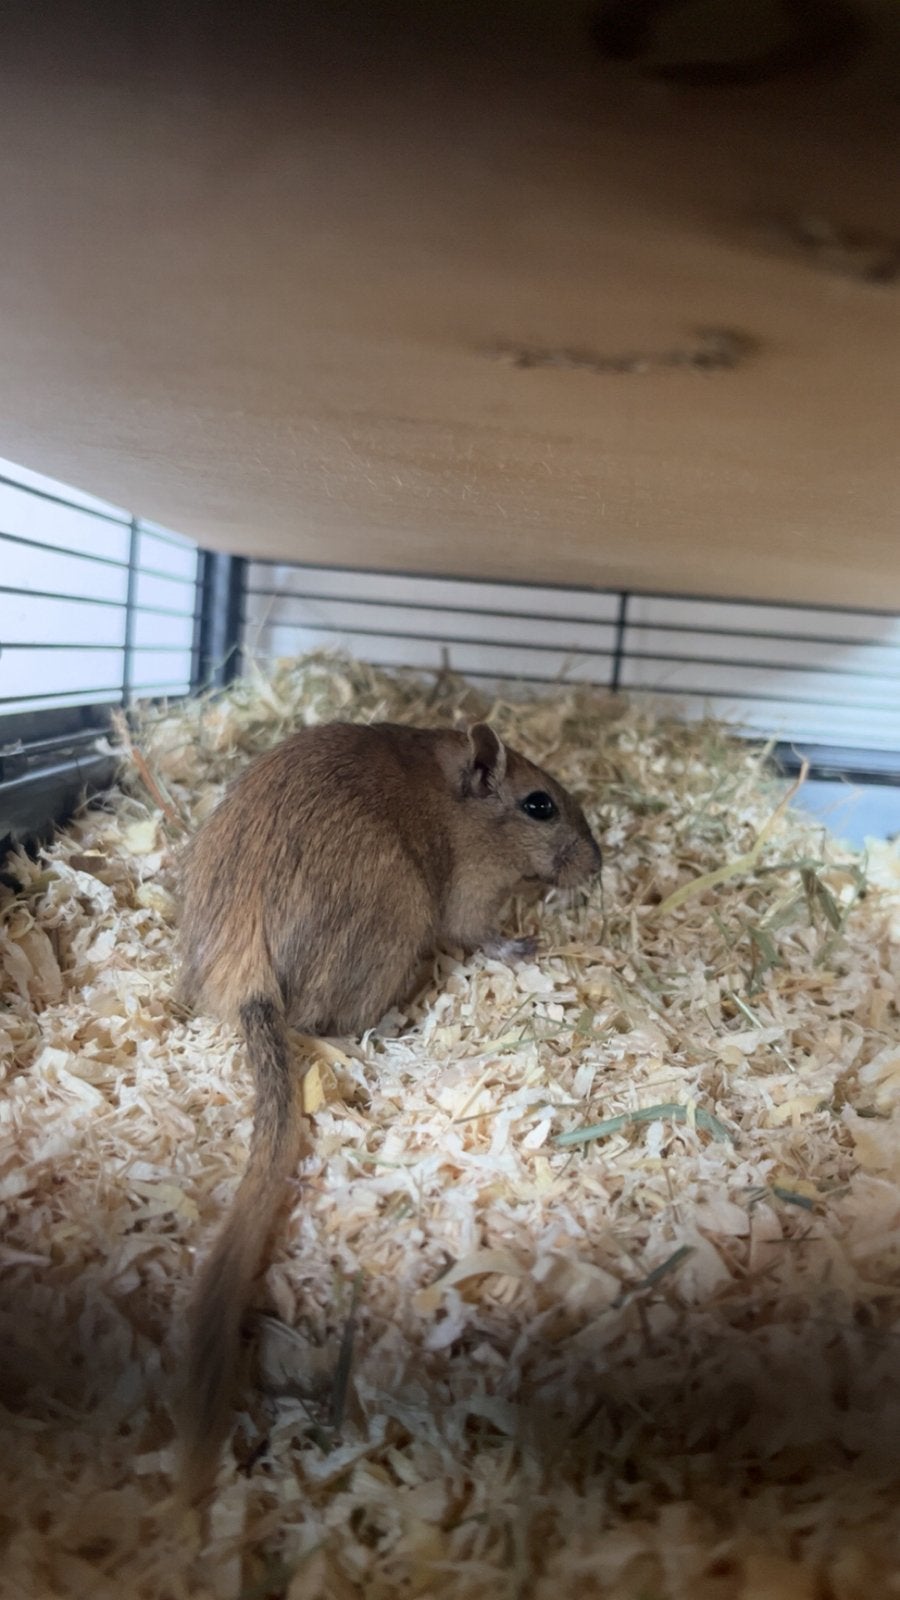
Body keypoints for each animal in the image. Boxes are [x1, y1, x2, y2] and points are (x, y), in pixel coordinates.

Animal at [176, 719, 601, 1500]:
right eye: (540, 806)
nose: (599, 865)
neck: (460, 802)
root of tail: (248, 983)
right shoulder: (472, 894)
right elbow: (481, 933)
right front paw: (526, 943)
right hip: (398, 924)